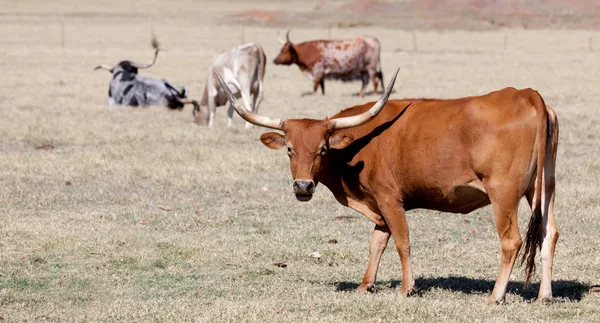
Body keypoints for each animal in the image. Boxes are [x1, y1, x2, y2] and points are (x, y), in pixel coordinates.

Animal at [214, 69, 556, 306]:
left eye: (322, 149)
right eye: (289, 149)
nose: (303, 185)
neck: (356, 147)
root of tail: (526, 94)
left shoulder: (390, 200)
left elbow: (402, 242)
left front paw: (407, 288)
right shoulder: (377, 206)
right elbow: (377, 242)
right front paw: (365, 285)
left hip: (503, 193)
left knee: (511, 241)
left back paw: (496, 296)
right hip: (543, 190)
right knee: (548, 234)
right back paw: (545, 295)